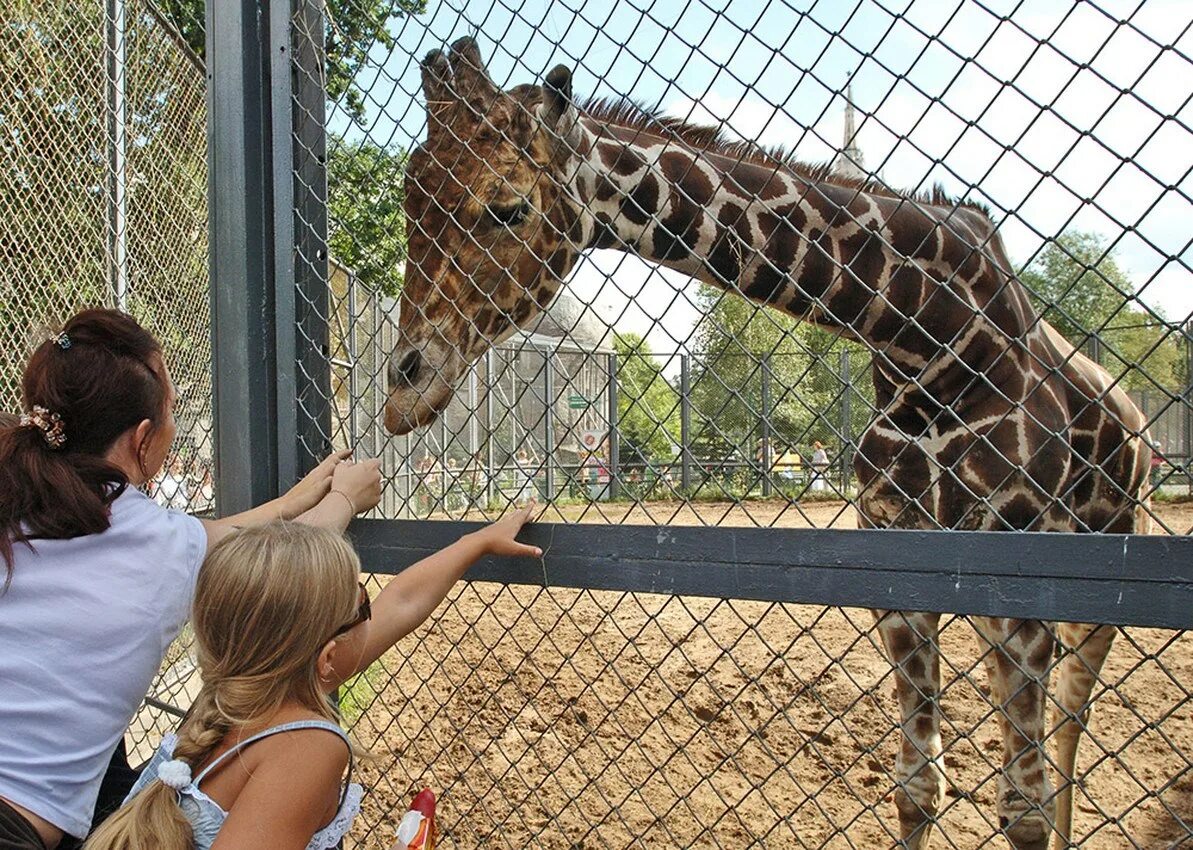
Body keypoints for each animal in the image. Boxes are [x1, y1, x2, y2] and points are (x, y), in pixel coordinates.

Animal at [384, 38, 1154, 850]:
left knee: (1070, 722)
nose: (402, 391)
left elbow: (1022, 812)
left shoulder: (1023, 561)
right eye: (409, 208)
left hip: (1097, 578)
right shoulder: (903, 560)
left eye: (508, 208)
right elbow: (917, 788)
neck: (924, 341)